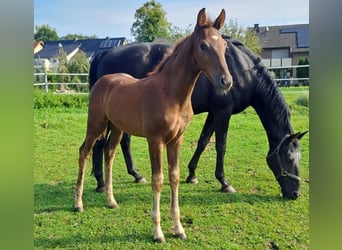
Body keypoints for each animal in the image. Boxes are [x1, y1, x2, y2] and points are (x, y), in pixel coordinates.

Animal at [74, 7, 232, 242]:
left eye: (224, 46)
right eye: (203, 46)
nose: (226, 81)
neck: (171, 94)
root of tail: (102, 80)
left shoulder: (176, 140)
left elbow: (174, 178)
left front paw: (179, 228)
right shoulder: (155, 140)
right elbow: (158, 180)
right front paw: (158, 232)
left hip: (117, 127)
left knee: (109, 153)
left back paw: (112, 201)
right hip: (96, 124)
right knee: (84, 151)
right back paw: (78, 204)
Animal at [89, 36, 308, 201]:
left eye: (299, 157)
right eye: (289, 158)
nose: (295, 193)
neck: (242, 69)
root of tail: (105, 53)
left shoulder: (213, 112)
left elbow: (203, 142)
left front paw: (192, 174)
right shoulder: (223, 112)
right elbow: (221, 145)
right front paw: (224, 182)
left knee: (122, 142)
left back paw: (135, 175)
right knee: (100, 143)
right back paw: (101, 183)